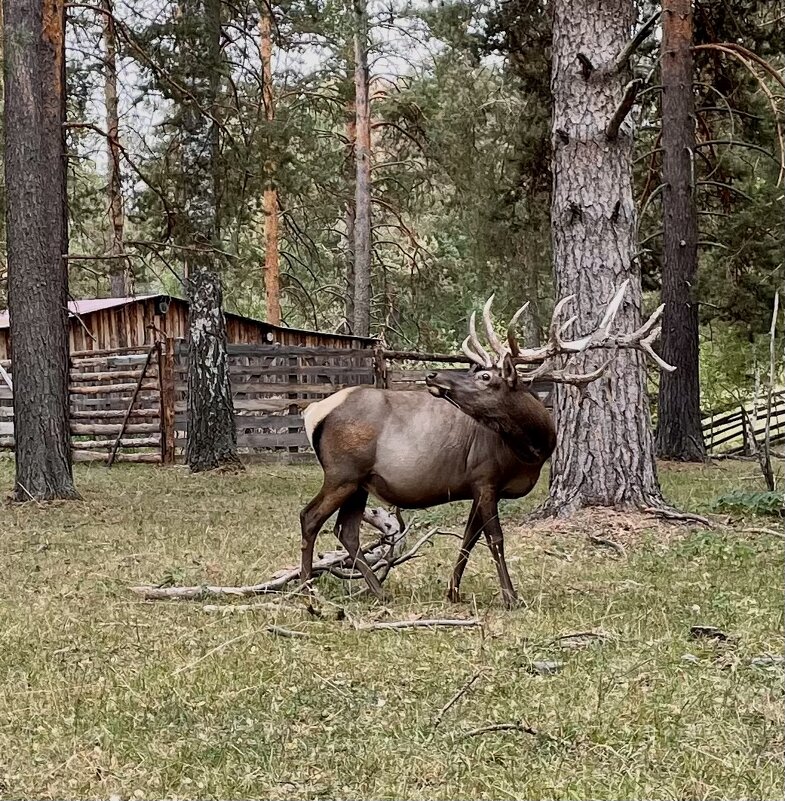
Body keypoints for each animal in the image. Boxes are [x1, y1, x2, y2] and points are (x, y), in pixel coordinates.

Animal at [298, 282, 672, 608]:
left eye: (485, 375)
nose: (433, 376)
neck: (533, 450)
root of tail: (313, 411)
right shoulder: (485, 477)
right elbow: (496, 539)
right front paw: (511, 597)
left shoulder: (479, 486)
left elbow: (469, 539)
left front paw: (453, 592)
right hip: (342, 472)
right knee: (310, 517)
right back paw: (306, 589)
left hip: (360, 482)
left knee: (346, 532)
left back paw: (379, 591)